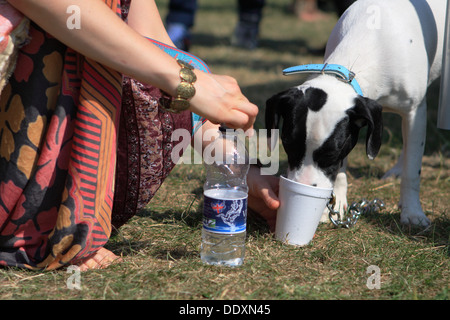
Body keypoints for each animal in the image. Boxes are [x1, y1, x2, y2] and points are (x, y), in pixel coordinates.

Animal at [266, 0, 444, 226]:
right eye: (287, 144)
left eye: (331, 153)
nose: (303, 187)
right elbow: (341, 169)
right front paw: (336, 203)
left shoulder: (414, 112)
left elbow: (413, 169)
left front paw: (412, 212)